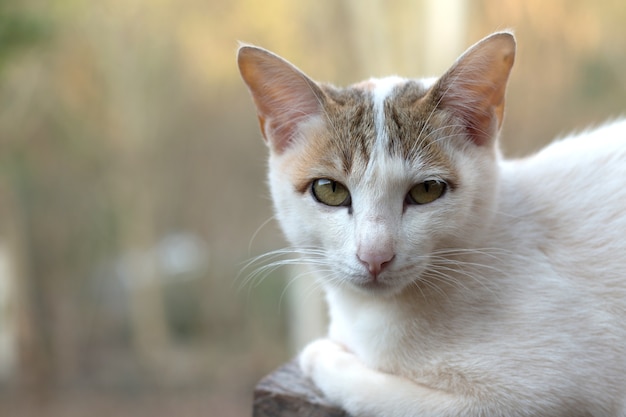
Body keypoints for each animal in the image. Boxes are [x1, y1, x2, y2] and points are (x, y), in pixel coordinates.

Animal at [235, 32, 624, 416]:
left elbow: (392, 399)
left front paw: (321, 354)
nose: (375, 256)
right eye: (330, 190)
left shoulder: (535, 394)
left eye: (426, 190)